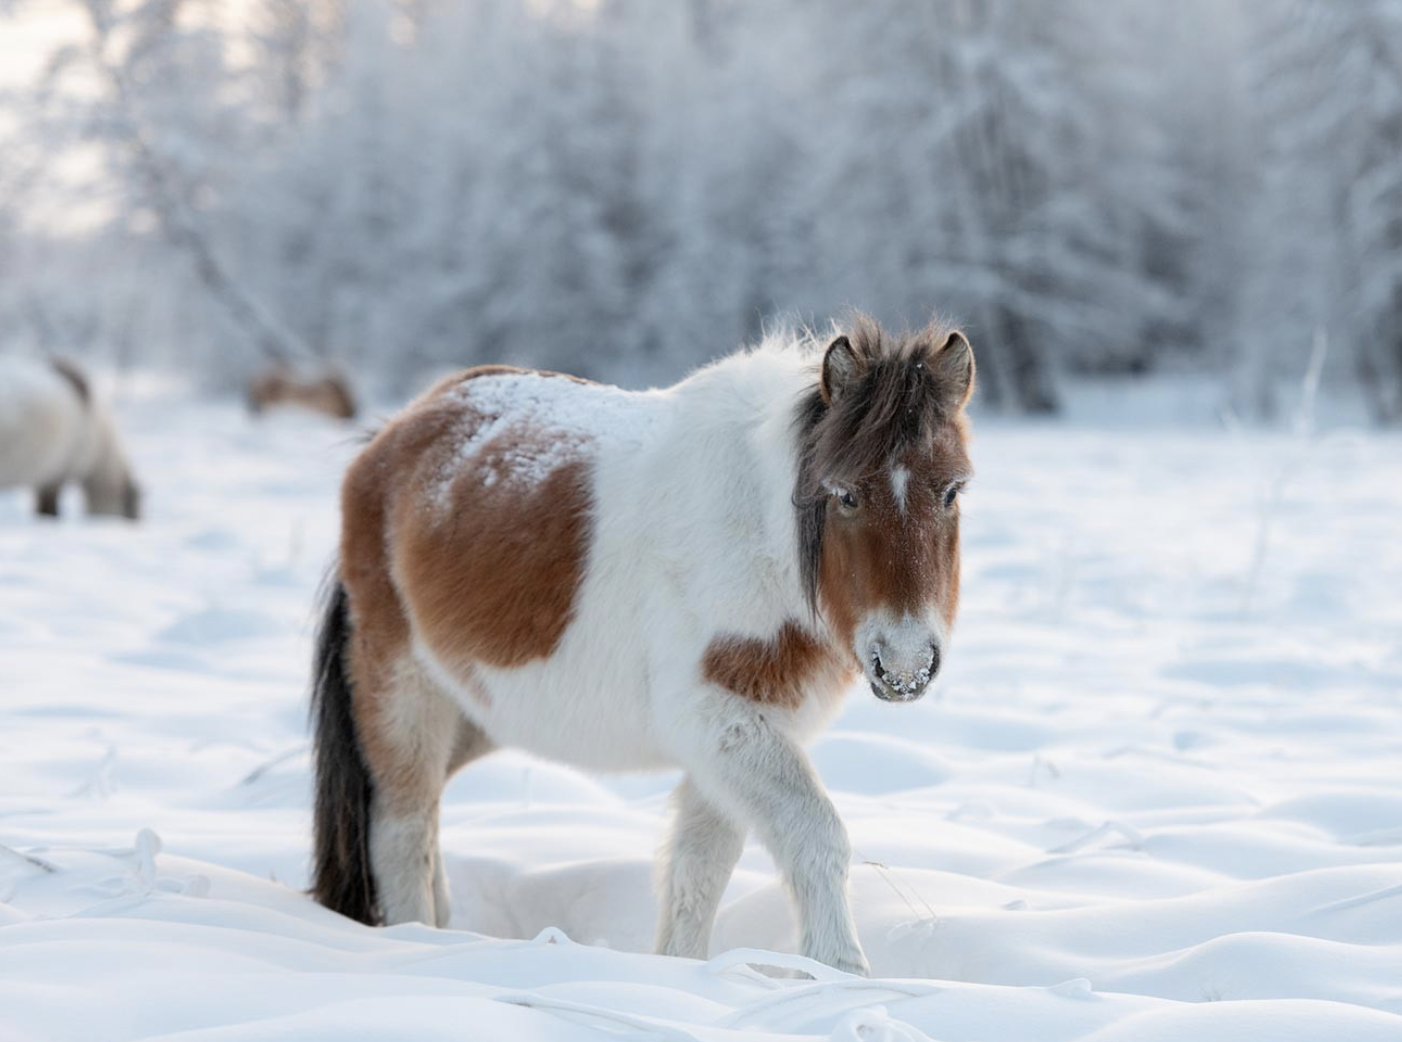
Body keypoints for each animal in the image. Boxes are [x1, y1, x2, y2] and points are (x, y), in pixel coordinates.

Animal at [311, 318, 975, 976]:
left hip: (470, 714)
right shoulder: (725, 723)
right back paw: (418, 943)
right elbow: (814, 833)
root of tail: (392, 436)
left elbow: (698, 870)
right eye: (845, 495)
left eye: (951, 492)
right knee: (401, 831)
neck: (759, 534)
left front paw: (682, 975)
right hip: (404, 696)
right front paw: (839, 973)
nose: (906, 665)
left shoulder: (734, 738)